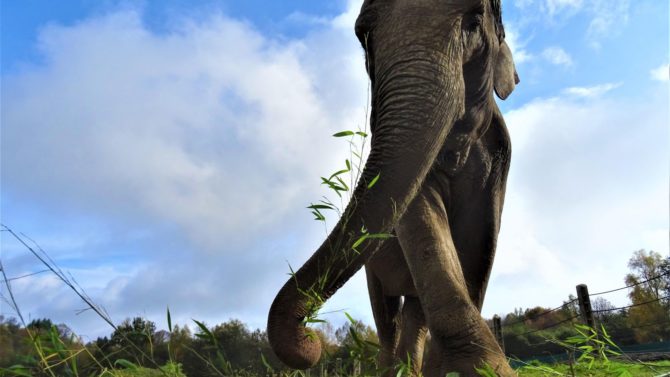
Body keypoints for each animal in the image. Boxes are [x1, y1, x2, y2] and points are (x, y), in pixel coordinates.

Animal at [268, 0, 520, 374]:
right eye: (363, 36)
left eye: (474, 22)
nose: (309, 342)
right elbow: (422, 218)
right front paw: (477, 368)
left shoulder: (499, 156)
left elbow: (481, 240)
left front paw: (470, 369)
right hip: (373, 271)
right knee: (388, 315)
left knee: (414, 311)